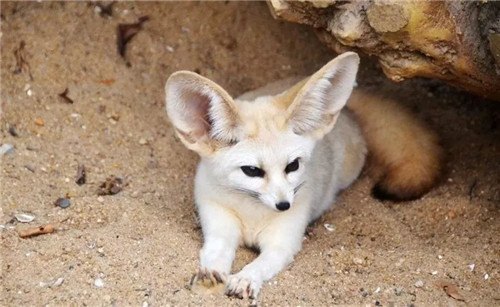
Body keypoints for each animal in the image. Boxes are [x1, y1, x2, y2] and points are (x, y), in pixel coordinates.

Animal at [164, 52, 442, 300]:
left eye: (293, 166)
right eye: (252, 171)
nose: (284, 205)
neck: (253, 213)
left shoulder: (282, 244)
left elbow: (260, 265)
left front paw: (245, 278)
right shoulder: (217, 225)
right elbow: (216, 253)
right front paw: (211, 275)